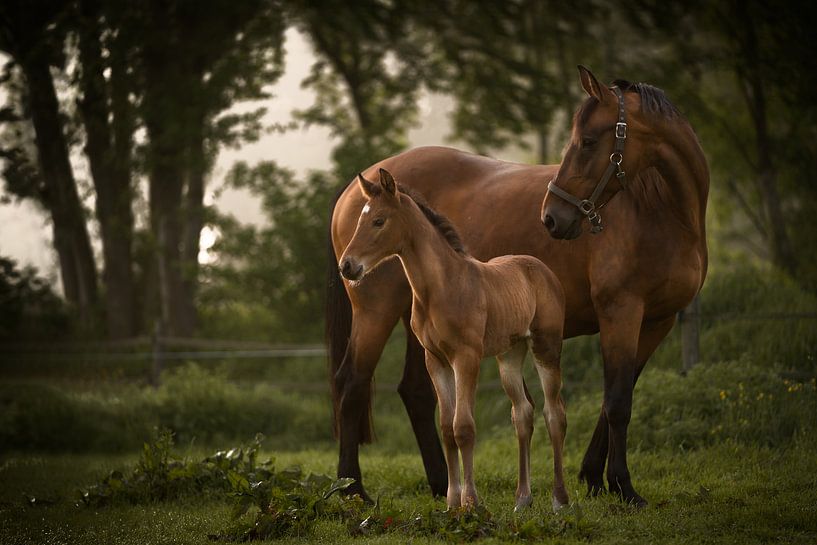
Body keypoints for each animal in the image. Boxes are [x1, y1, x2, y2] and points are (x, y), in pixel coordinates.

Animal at [338, 170, 568, 510]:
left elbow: (464, 427)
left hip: (546, 347)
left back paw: (559, 500)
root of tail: (541, 269)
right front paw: (451, 502)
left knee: (554, 414)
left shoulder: (466, 357)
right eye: (359, 220)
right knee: (522, 414)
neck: (442, 287)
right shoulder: (436, 360)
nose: (347, 266)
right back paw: (522, 499)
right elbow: (447, 428)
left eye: (379, 221)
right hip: (509, 355)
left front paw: (471, 502)